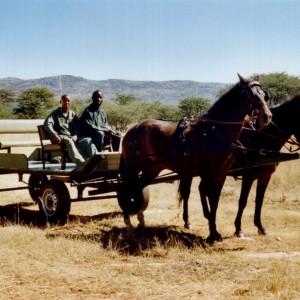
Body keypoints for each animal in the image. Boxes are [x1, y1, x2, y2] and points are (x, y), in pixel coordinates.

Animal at [118, 74, 272, 244]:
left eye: (264, 95)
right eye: (250, 95)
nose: (267, 116)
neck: (214, 132)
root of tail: (133, 128)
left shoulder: (221, 174)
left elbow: (215, 201)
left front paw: (215, 231)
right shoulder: (206, 173)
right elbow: (209, 197)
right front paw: (212, 233)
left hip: (151, 169)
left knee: (138, 187)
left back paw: (141, 221)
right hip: (133, 167)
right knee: (126, 188)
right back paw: (129, 222)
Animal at [178, 94, 300, 239]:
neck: (261, 138)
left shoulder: (265, 176)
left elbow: (259, 201)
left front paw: (261, 227)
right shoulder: (248, 176)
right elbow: (243, 201)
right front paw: (238, 229)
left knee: (202, 189)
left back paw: (207, 216)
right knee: (187, 193)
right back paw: (188, 221)